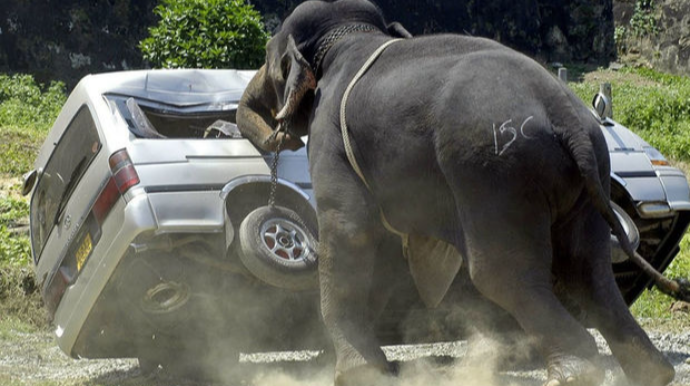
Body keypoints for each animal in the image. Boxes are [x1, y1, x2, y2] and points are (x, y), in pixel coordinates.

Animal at [236, 1, 684, 384]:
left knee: (503, 273)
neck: (351, 36)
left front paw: (357, 374)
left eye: (268, 56)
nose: (274, 132)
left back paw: (573, 374)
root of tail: (567, 117)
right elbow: (386, 249)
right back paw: (653, 374)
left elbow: (351, 232)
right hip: (587, 179)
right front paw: (372, 366)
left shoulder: (329, 136)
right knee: (588, 268)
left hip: (493, 173)